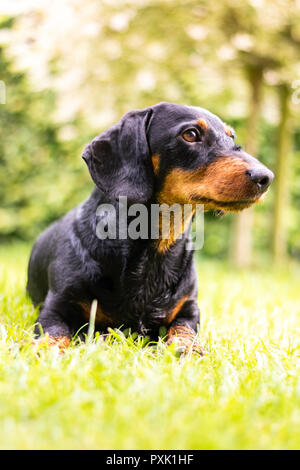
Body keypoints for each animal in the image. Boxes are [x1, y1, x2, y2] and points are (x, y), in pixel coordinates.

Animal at [27, 102, 274, 352]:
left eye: (231, 136)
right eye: (191, 134)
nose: (266, 178)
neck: (155, 249)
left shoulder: (189, 310)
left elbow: (184, 330)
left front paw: (189, 349)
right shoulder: (55, 307)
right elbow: (53, 333)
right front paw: (41, 350)